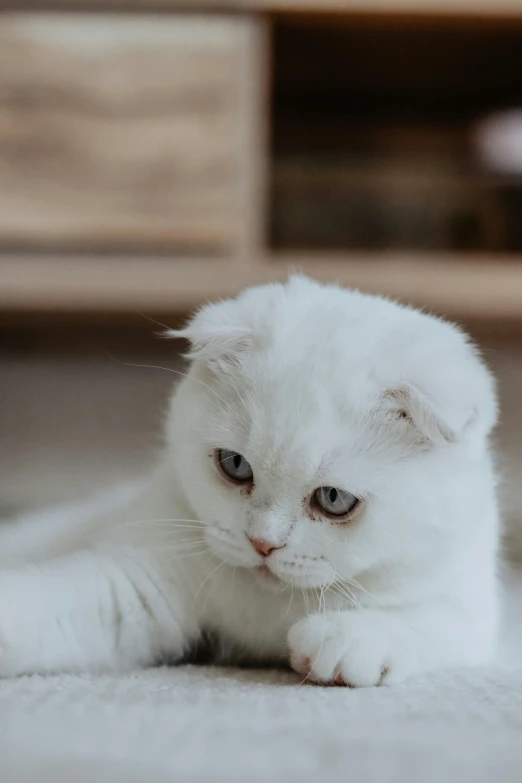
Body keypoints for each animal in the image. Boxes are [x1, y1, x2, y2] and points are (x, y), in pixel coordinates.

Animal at [0, 276, 498, 688]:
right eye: (236, 465)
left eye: (334, 498)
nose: (263, 543)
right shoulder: (137, 584)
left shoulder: (476, 609)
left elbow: (433, 619)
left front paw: (345, 640)